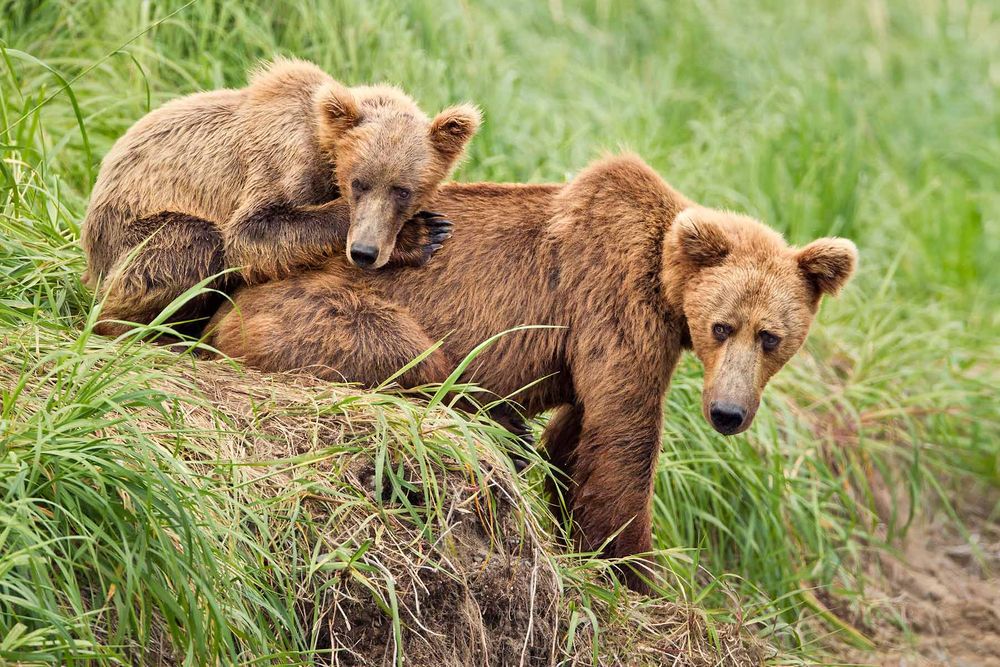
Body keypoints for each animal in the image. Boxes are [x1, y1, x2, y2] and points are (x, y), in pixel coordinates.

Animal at [81, 58, 480, 337]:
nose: (364, 252)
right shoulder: (282, 155)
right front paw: (424, 234)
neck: (326, 146)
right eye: (359, 183)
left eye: (403, 190)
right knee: (192, 243)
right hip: (131, 227)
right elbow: (252, 232)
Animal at [206, 153, 858, 593]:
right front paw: (642, 573)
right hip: (316, 307)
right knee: (409, 352)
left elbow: (580, 435)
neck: (669, 290)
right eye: (722, 326)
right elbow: (624, 437)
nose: (727, 413)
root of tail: (224, 302)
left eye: (771, 336)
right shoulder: (613, 297)